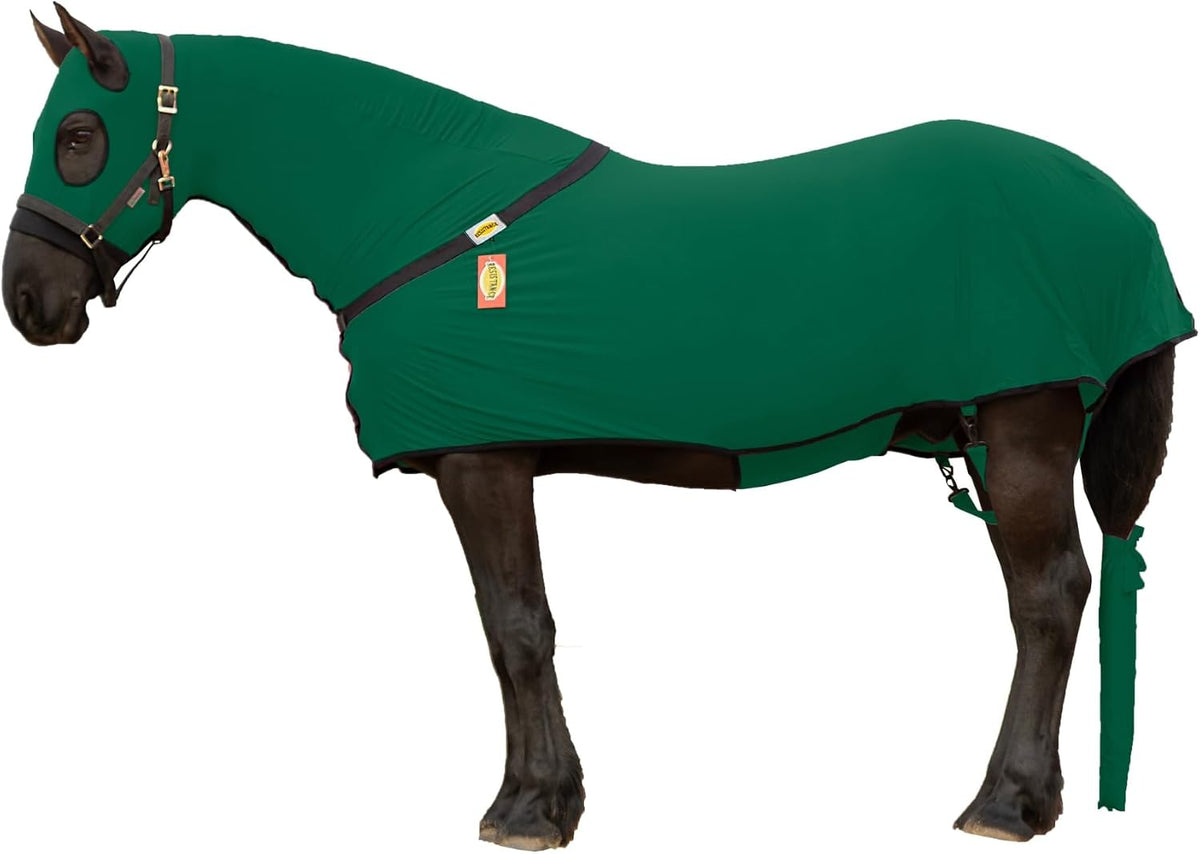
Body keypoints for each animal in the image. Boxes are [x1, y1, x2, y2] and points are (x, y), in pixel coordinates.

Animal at [3, 7, 1193, 850]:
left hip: (1023, 431)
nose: (30, 303)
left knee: (1047, 598)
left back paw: (1007, 800)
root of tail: (1122, 208)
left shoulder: (481, 461)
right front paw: (552, 794)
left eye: (78, 135)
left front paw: (529, 807)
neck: (425, 211)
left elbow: (515, 627)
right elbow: (517, 627)